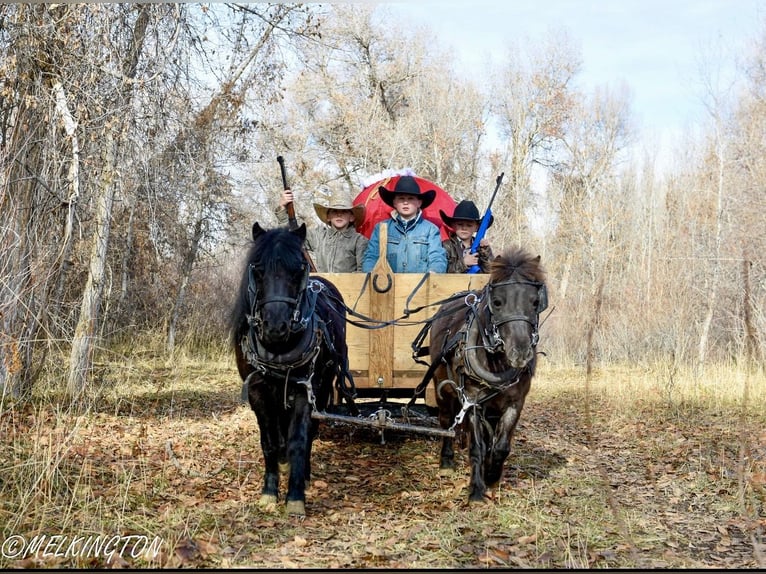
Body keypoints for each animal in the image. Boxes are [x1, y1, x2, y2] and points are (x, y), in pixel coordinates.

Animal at [428, 250, 548, 502]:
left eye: (535, 302)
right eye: (497, 302)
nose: (520, 351)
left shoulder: (515, 402)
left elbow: (501, 446)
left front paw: (492, 476)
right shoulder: (473, 401)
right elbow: (478, 446)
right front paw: (476, 489)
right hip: (442, 388)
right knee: (446, 422)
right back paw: (447, 461)